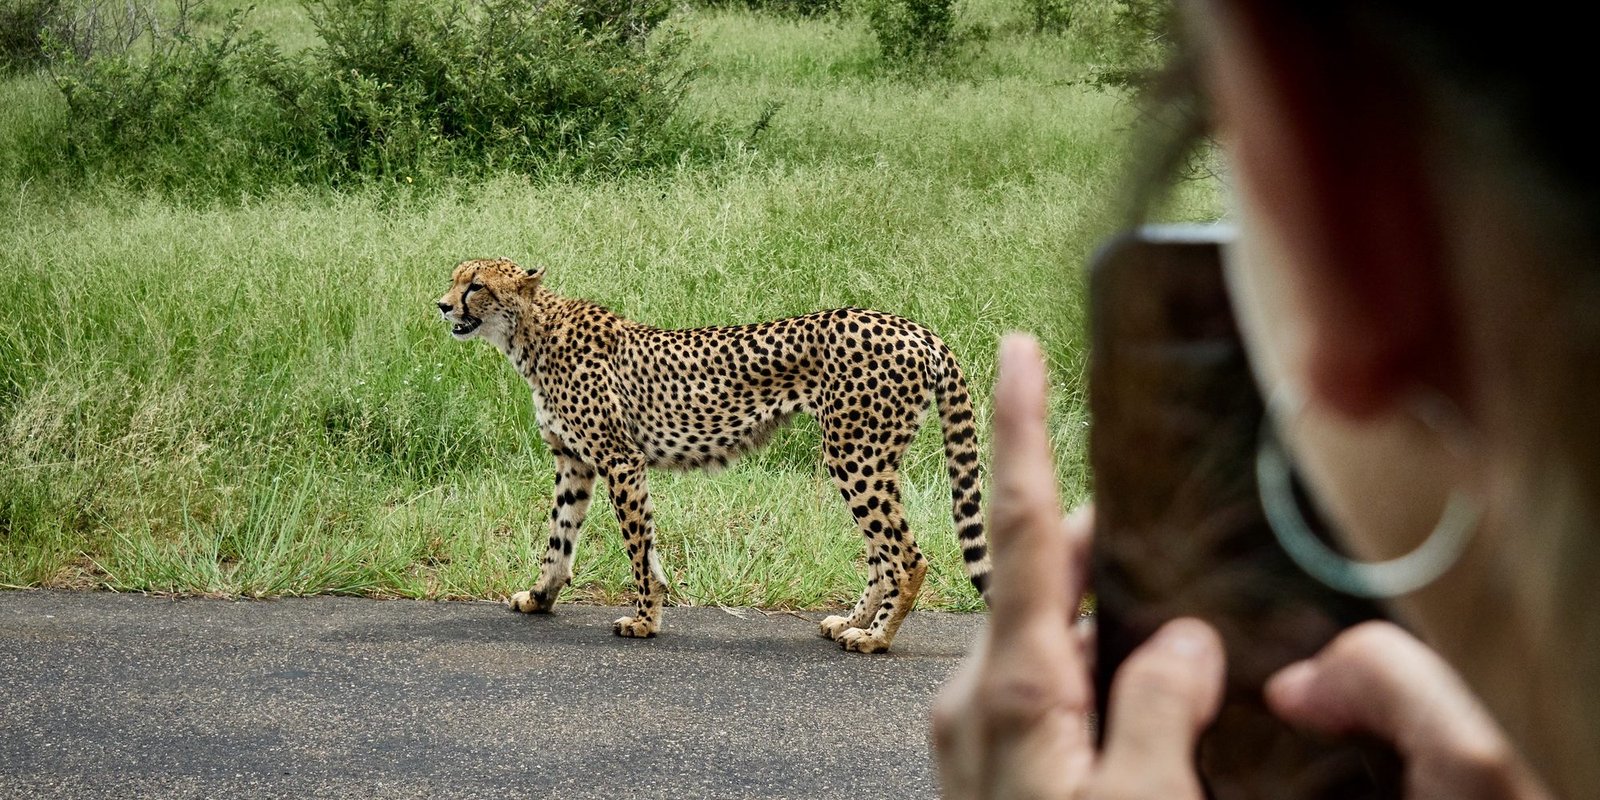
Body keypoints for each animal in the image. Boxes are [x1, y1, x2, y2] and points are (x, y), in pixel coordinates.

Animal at [436, 257, 991, 653]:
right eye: (455, 279)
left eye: (476, 285)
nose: (442, 305)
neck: (531, 333)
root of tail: (916, 328)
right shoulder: (574, 462)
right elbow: (559, 538)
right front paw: (539, 597)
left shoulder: (620, 460)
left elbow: (638, 547)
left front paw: (645, 619)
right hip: (866, 457)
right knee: (882, 553)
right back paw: (851, 622)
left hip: (856, 455)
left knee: (908, 557)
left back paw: (875, 637)